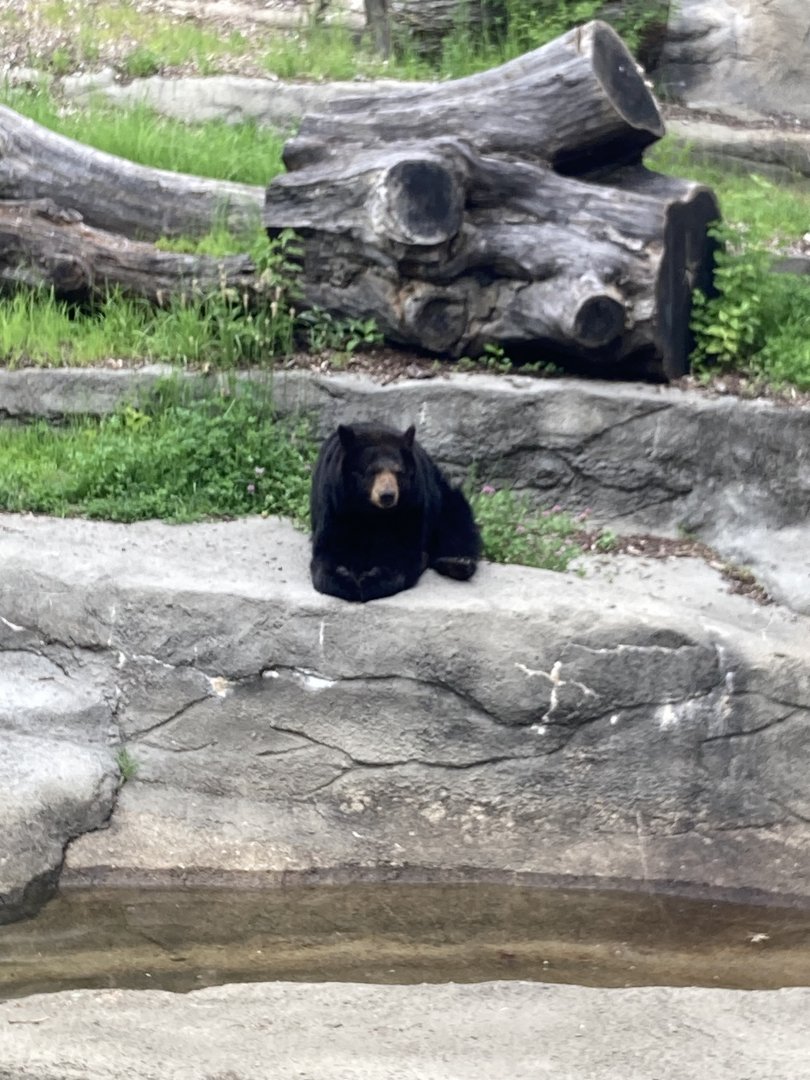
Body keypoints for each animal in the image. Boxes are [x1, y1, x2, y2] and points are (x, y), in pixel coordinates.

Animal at [309, 421, 481, 602]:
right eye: (371, 471)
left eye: (398, 471)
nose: (387, 495)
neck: (371, 511)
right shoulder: (336, 504)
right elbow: (327, 551)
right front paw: (346, 579)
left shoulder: (410, 506)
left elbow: (403, 553)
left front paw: (370, 580)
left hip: (440, 496)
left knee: (457, 520)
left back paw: (458, 562)